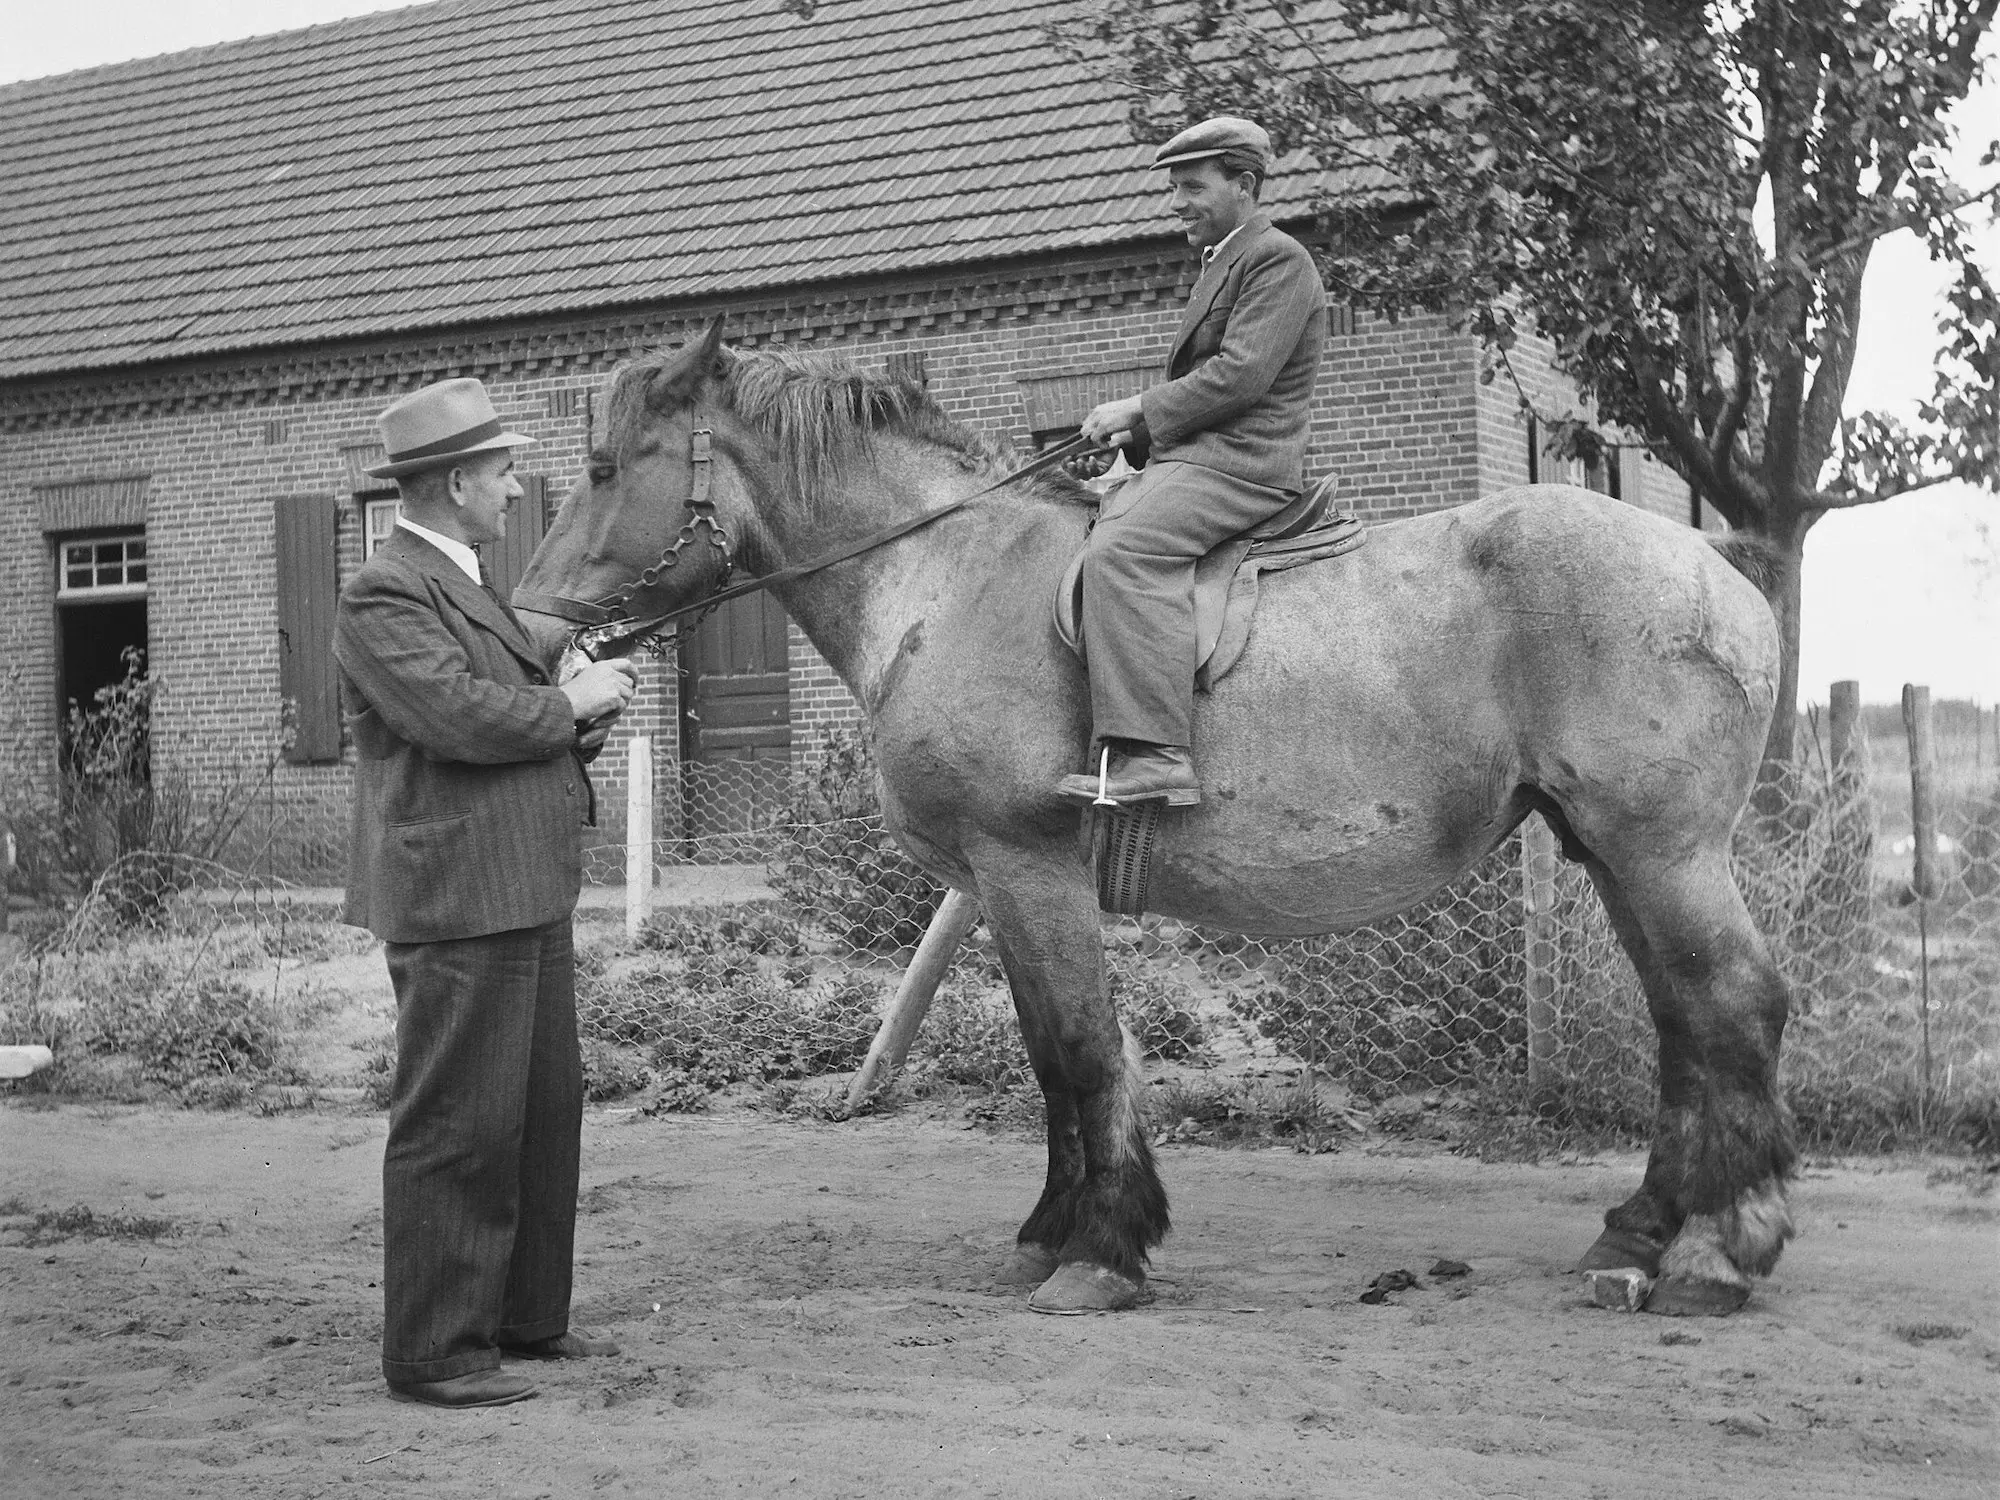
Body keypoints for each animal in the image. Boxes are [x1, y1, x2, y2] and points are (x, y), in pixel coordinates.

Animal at [512, 318, 1800, 1312]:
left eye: (602, 467)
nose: (527, 631)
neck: (948, 573)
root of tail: (1712, 561)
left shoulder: (1026, 867)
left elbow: (1080, 1050)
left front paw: (1099, 1251)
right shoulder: (999, 887)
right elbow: (1051, 1058)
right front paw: (1054, 1229)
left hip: (1662, 853)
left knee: (1728, 1006)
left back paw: (1714, 1254)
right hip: (1615, 856)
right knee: (1683, 1023)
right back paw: (1639, 1233)